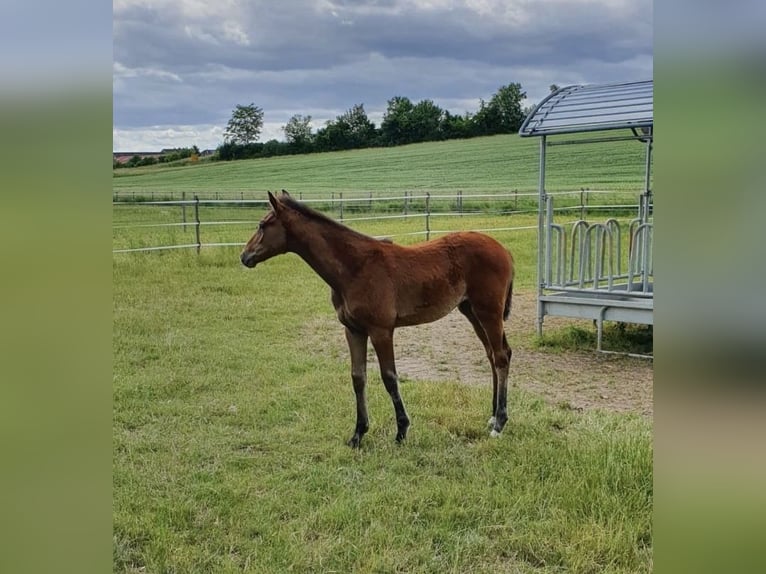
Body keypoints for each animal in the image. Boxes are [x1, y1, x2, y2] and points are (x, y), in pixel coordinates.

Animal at [241, 191, 515, 448]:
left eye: (262, 225)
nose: (244, 256)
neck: (355, 267)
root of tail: (503, 250)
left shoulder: (381, 330)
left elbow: (389, 377)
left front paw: (401, 431)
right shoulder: (353, 330)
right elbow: (358, 377)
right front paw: (358, 434)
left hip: (488, 311)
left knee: (501, 356)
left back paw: (499, 424)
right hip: (471, 311)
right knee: (492, 355)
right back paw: (492, 416)